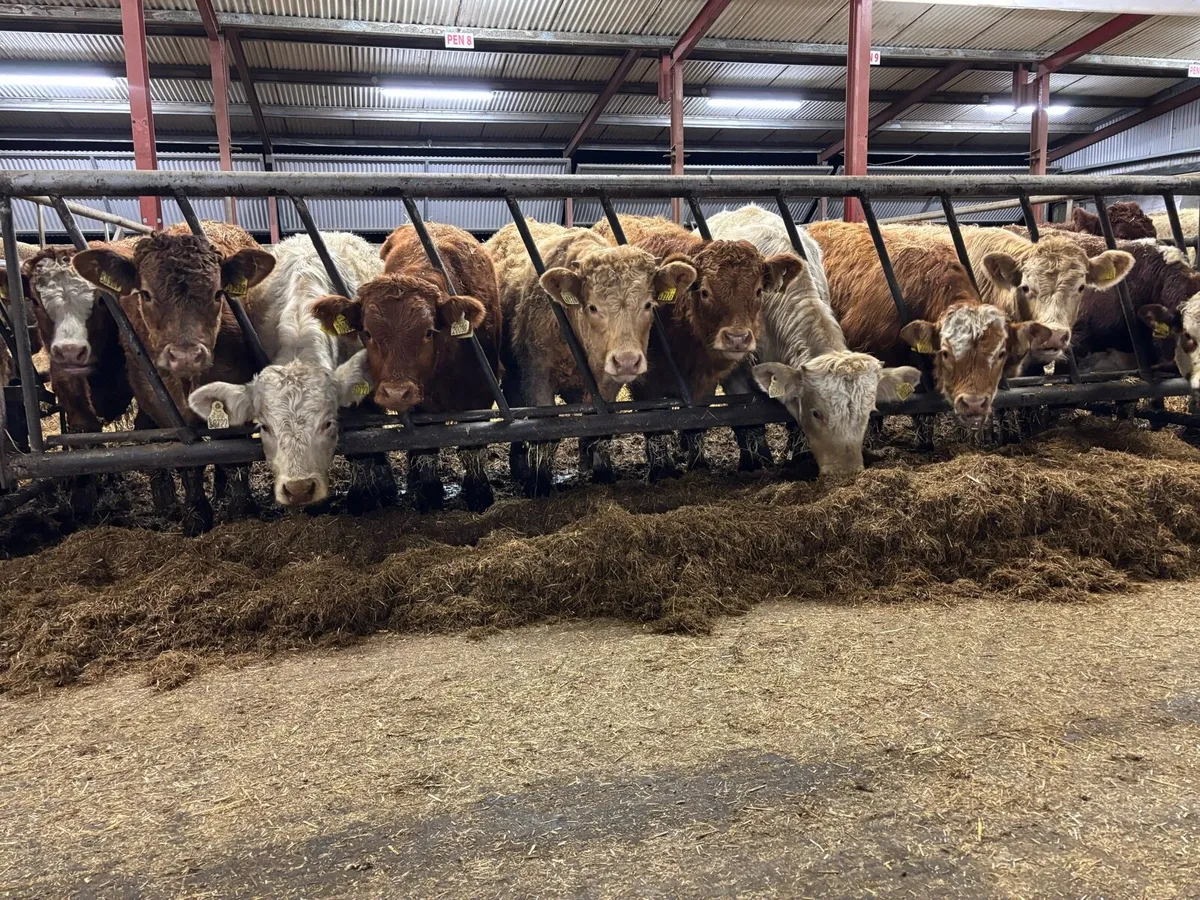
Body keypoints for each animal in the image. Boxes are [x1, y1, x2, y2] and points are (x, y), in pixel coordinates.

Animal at [73, 221, 276, 535]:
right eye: (145, 294)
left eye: (218, 293)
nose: (185, 356)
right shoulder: (158, 397)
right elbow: (185, 456)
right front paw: (196, 515)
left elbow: (235, 453)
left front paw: (243, 510)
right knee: (145, 430)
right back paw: (165, 501)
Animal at [312, 223, 503, 513]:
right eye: (367, 332)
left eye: (428, 332)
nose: (396, 392)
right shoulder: (420, 407)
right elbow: (425, 447)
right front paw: (429, 494)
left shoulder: (481, 395)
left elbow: (474, 447)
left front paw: (479, 494)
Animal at [486, 220, 695, 495]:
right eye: (593, 307)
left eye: (648, 304)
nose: (627, 360)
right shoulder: (536, 377)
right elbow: (545, 433)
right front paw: (540, 484)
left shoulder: (608, 382)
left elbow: (600, 429)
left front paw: (602, 473)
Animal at [593, 213, 802, 480]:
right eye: (705, 291)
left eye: (757, 291)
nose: (737, 337)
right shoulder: (643, 382)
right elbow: (653, 425)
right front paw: (661, 470)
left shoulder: (705, 383)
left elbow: (695, 424)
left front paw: (697, 464)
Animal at [707, 205, 920, 477]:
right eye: (816, 413)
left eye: (867, 413)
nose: (845, 471)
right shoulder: (734, 371)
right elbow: (746, 419)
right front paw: (755, 463)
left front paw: (799, 456)